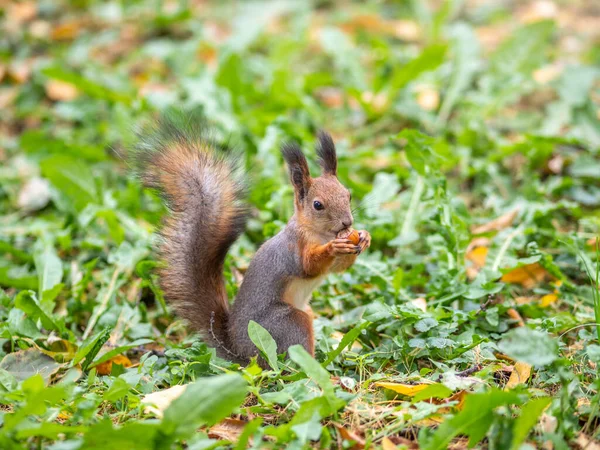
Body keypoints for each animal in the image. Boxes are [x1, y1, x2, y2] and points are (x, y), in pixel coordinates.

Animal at [134, 115, 370, 362]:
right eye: (317, 205)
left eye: (348, 194)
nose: (347, 223)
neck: (321, 233)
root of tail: (240, 352)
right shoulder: (293, 248)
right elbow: (308, 266)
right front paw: (333, 247)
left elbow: (339, 268)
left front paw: (364, 237)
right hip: (287, 323)